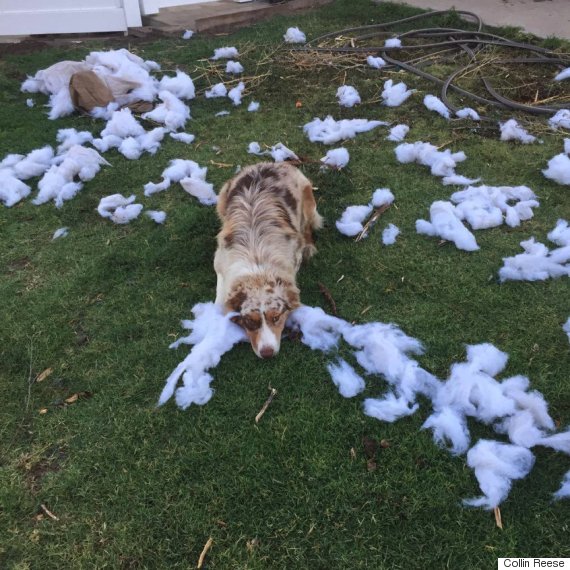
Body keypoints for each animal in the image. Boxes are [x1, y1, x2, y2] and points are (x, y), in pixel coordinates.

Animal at [213, 161, 322, 356]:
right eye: (250, 321)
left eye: (276, 317)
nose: (267, 353)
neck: (257, 263)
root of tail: (273, 163)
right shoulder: (219, 260)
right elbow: (220, 292)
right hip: (222, 198)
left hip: (308, 201)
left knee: (308, 225)